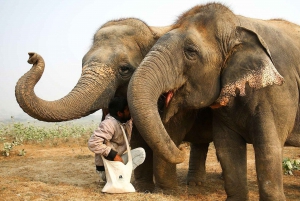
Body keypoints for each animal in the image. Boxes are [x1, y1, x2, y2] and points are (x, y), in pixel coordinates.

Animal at [127, 2, 300, 200]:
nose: (181, 150)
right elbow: (227, 148)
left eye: (190, 52)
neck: (237, 25)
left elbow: (268, 148)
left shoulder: (278, 91)